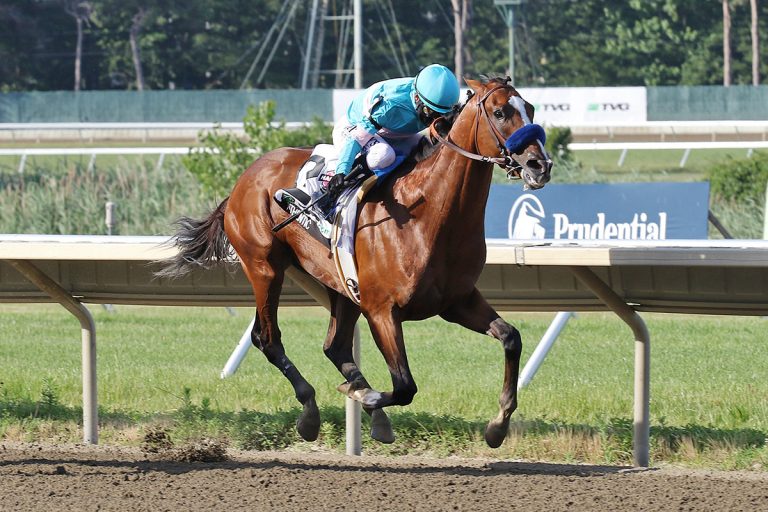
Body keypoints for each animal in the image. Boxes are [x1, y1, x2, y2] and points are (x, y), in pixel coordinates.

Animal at [158, 76, 552, 448]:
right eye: (500, 112)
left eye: (531, 109)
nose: (540, 165)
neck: (429, 215)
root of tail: (243, 180)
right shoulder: (382, 310)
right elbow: (405, 386)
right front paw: (363, 396)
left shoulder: (456, 301)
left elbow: (511, 338)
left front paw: (498, 426)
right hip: (264, 267)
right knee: (267, 338)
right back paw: (311, 412)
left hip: (341, 289)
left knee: (334, 346)